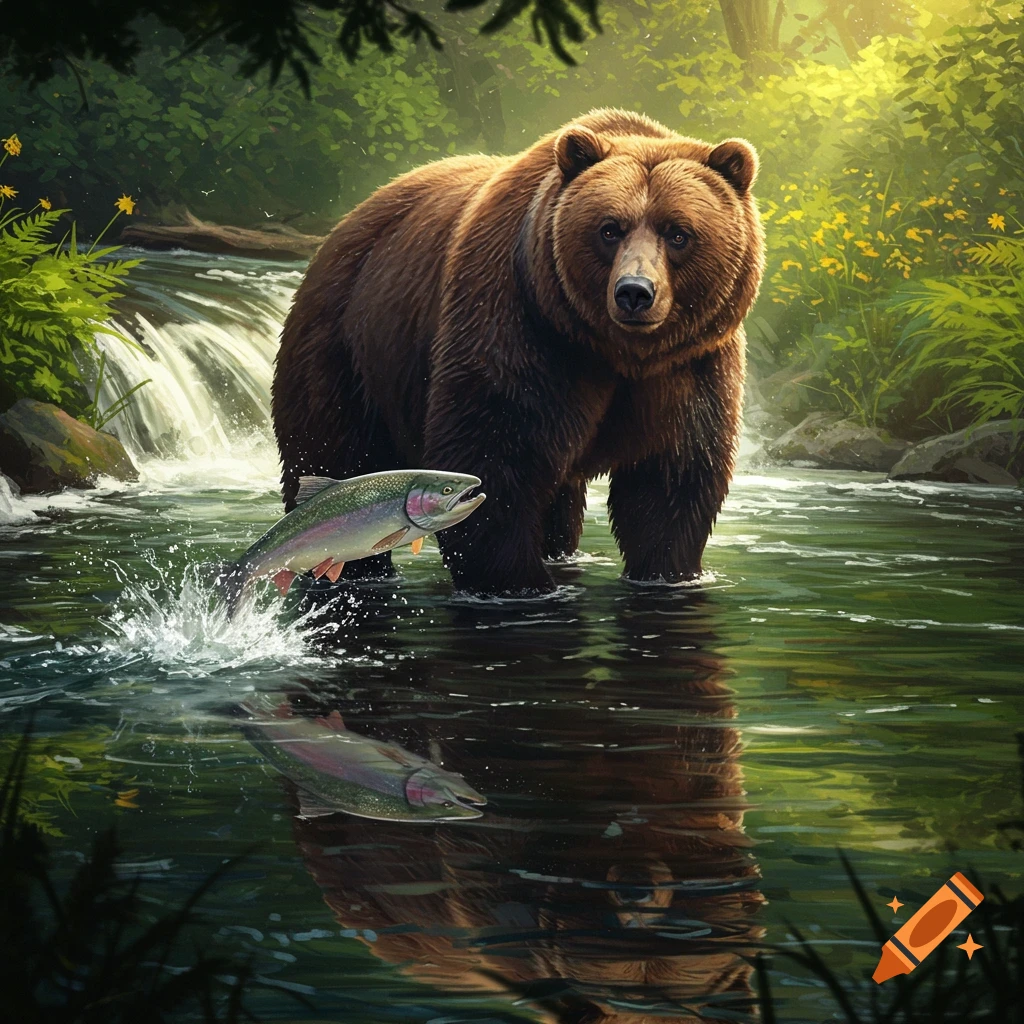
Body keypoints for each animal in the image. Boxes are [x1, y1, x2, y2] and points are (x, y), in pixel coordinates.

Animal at [272, 108, 764, 595]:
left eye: (678, 233)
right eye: (609, 228)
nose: (634, 292)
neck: (615, 352)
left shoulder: (691, 363)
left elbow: (672, 476)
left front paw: (668, 572)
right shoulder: (520, 327)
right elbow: (498, 449)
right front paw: (518, 582)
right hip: (347, 348)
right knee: (336, 453)